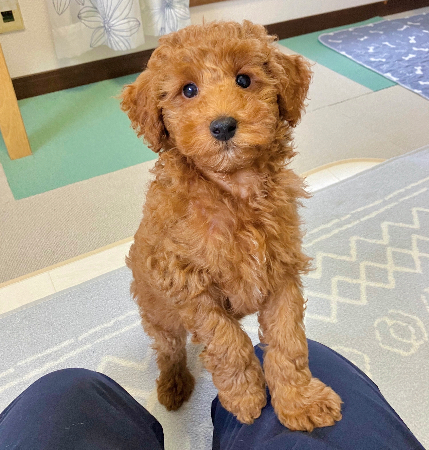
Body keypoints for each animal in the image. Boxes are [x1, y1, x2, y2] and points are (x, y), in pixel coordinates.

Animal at [121, 20, 342, 431]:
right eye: (188, 90)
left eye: (244, 80)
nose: (223, 126)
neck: (234, 188)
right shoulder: (189, 285)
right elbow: (228, 343)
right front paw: (245, 397)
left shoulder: (281, 272)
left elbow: (288, 342)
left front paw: (299, 402)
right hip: (157, 310)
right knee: (168, 348)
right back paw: (173, 384)